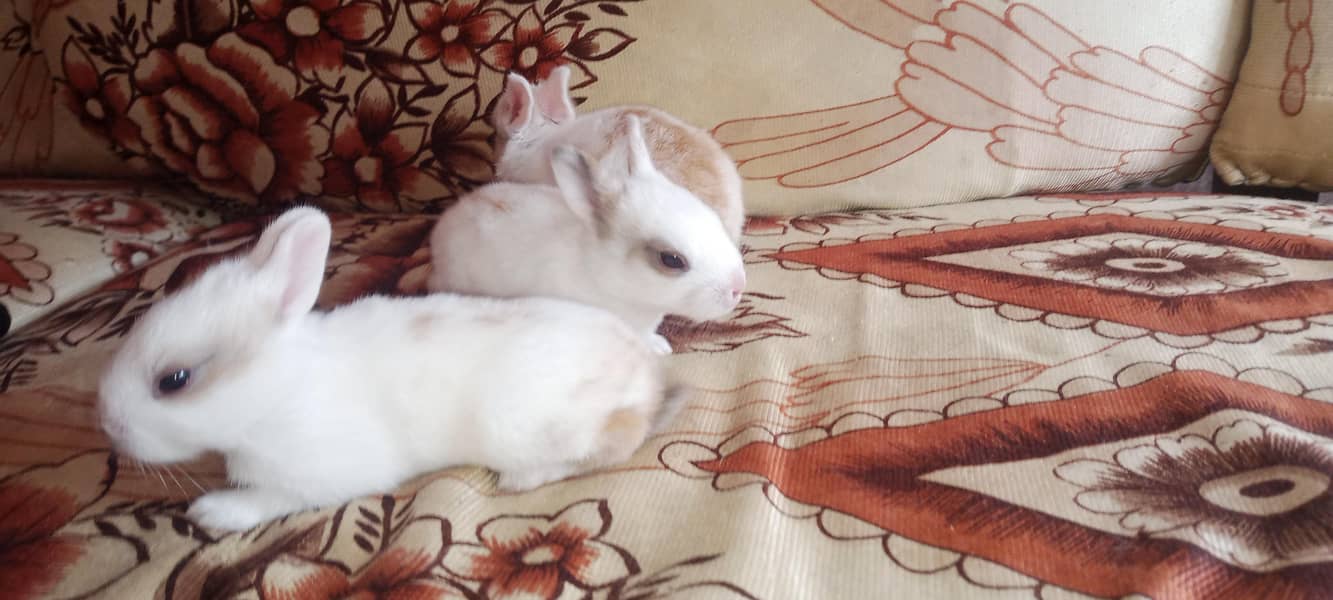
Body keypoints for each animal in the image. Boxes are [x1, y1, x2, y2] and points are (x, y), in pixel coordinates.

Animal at [98, 206, 685, 532]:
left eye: (173, 381)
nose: (108, 424)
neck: (279, 391)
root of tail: (648, 382)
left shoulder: (319, 474)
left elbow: (273, 498)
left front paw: (213, 513)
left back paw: (522, 477)